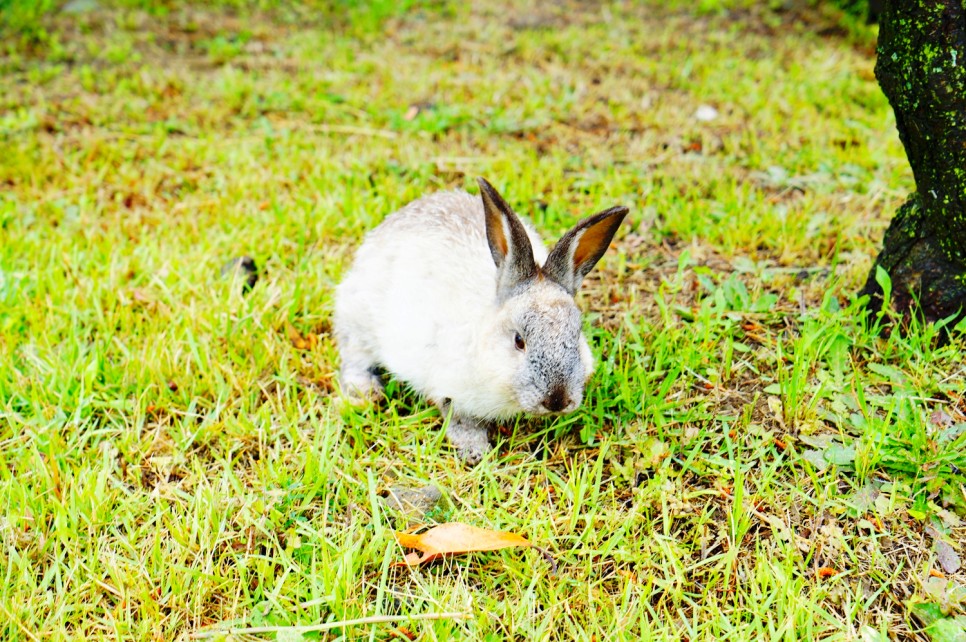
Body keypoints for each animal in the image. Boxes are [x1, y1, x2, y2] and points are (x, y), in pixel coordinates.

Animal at [336, 178, 632, 462]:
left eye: (576, 335)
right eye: (519, 341)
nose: (557, 401)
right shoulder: (451, 389)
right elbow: (460, 420)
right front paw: (477, 453)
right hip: (357, 320)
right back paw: (365, 393)